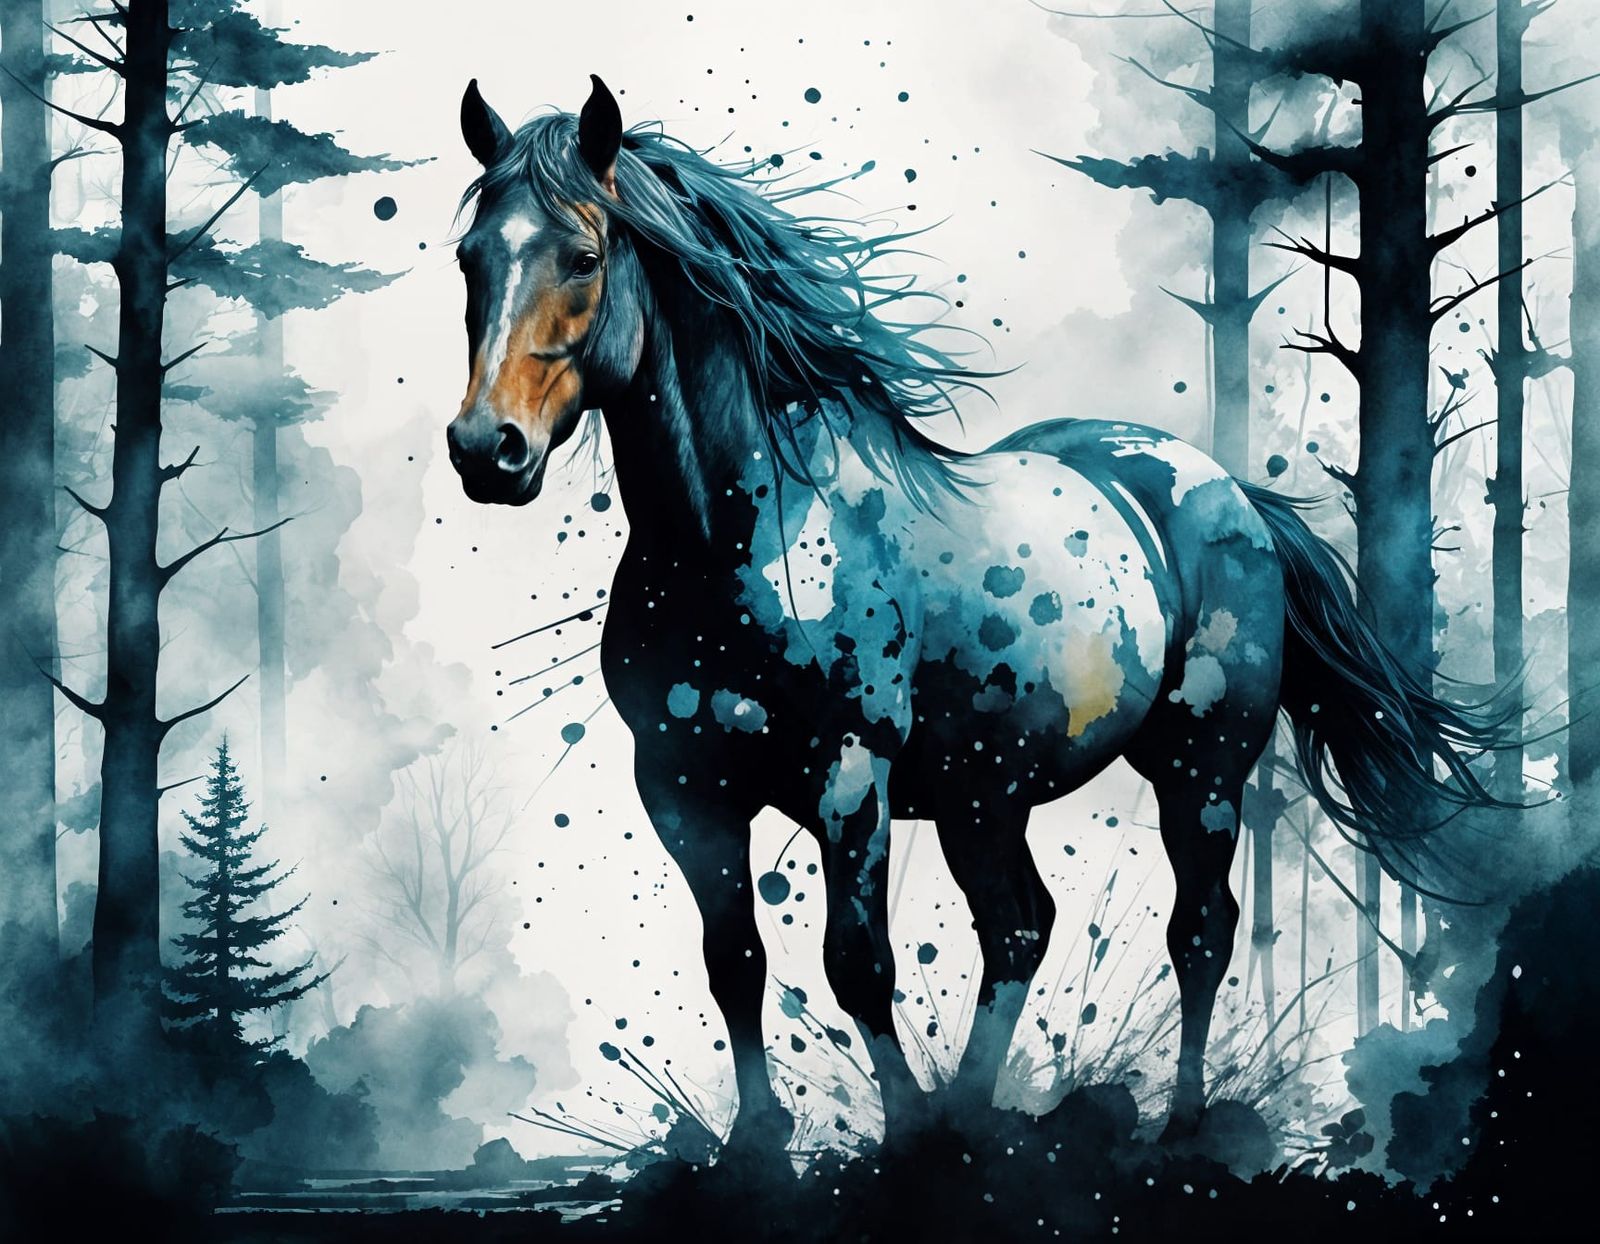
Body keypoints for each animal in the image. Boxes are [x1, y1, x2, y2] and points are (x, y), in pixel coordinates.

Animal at [444, 75, 1502, 1156]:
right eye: (470, 256)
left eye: (582, 256)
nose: (487, 449)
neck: (735, 541)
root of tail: (1229, 491)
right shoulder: (680, 785)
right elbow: (733, 959)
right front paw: (761, 1142)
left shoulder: (850, 773)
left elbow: (856, 961)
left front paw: (905, 1131)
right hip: (984, 795)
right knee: (1020, 927)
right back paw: (975, 1112)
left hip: (1198, 769)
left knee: (1199, 930)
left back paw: (1174, 1121)